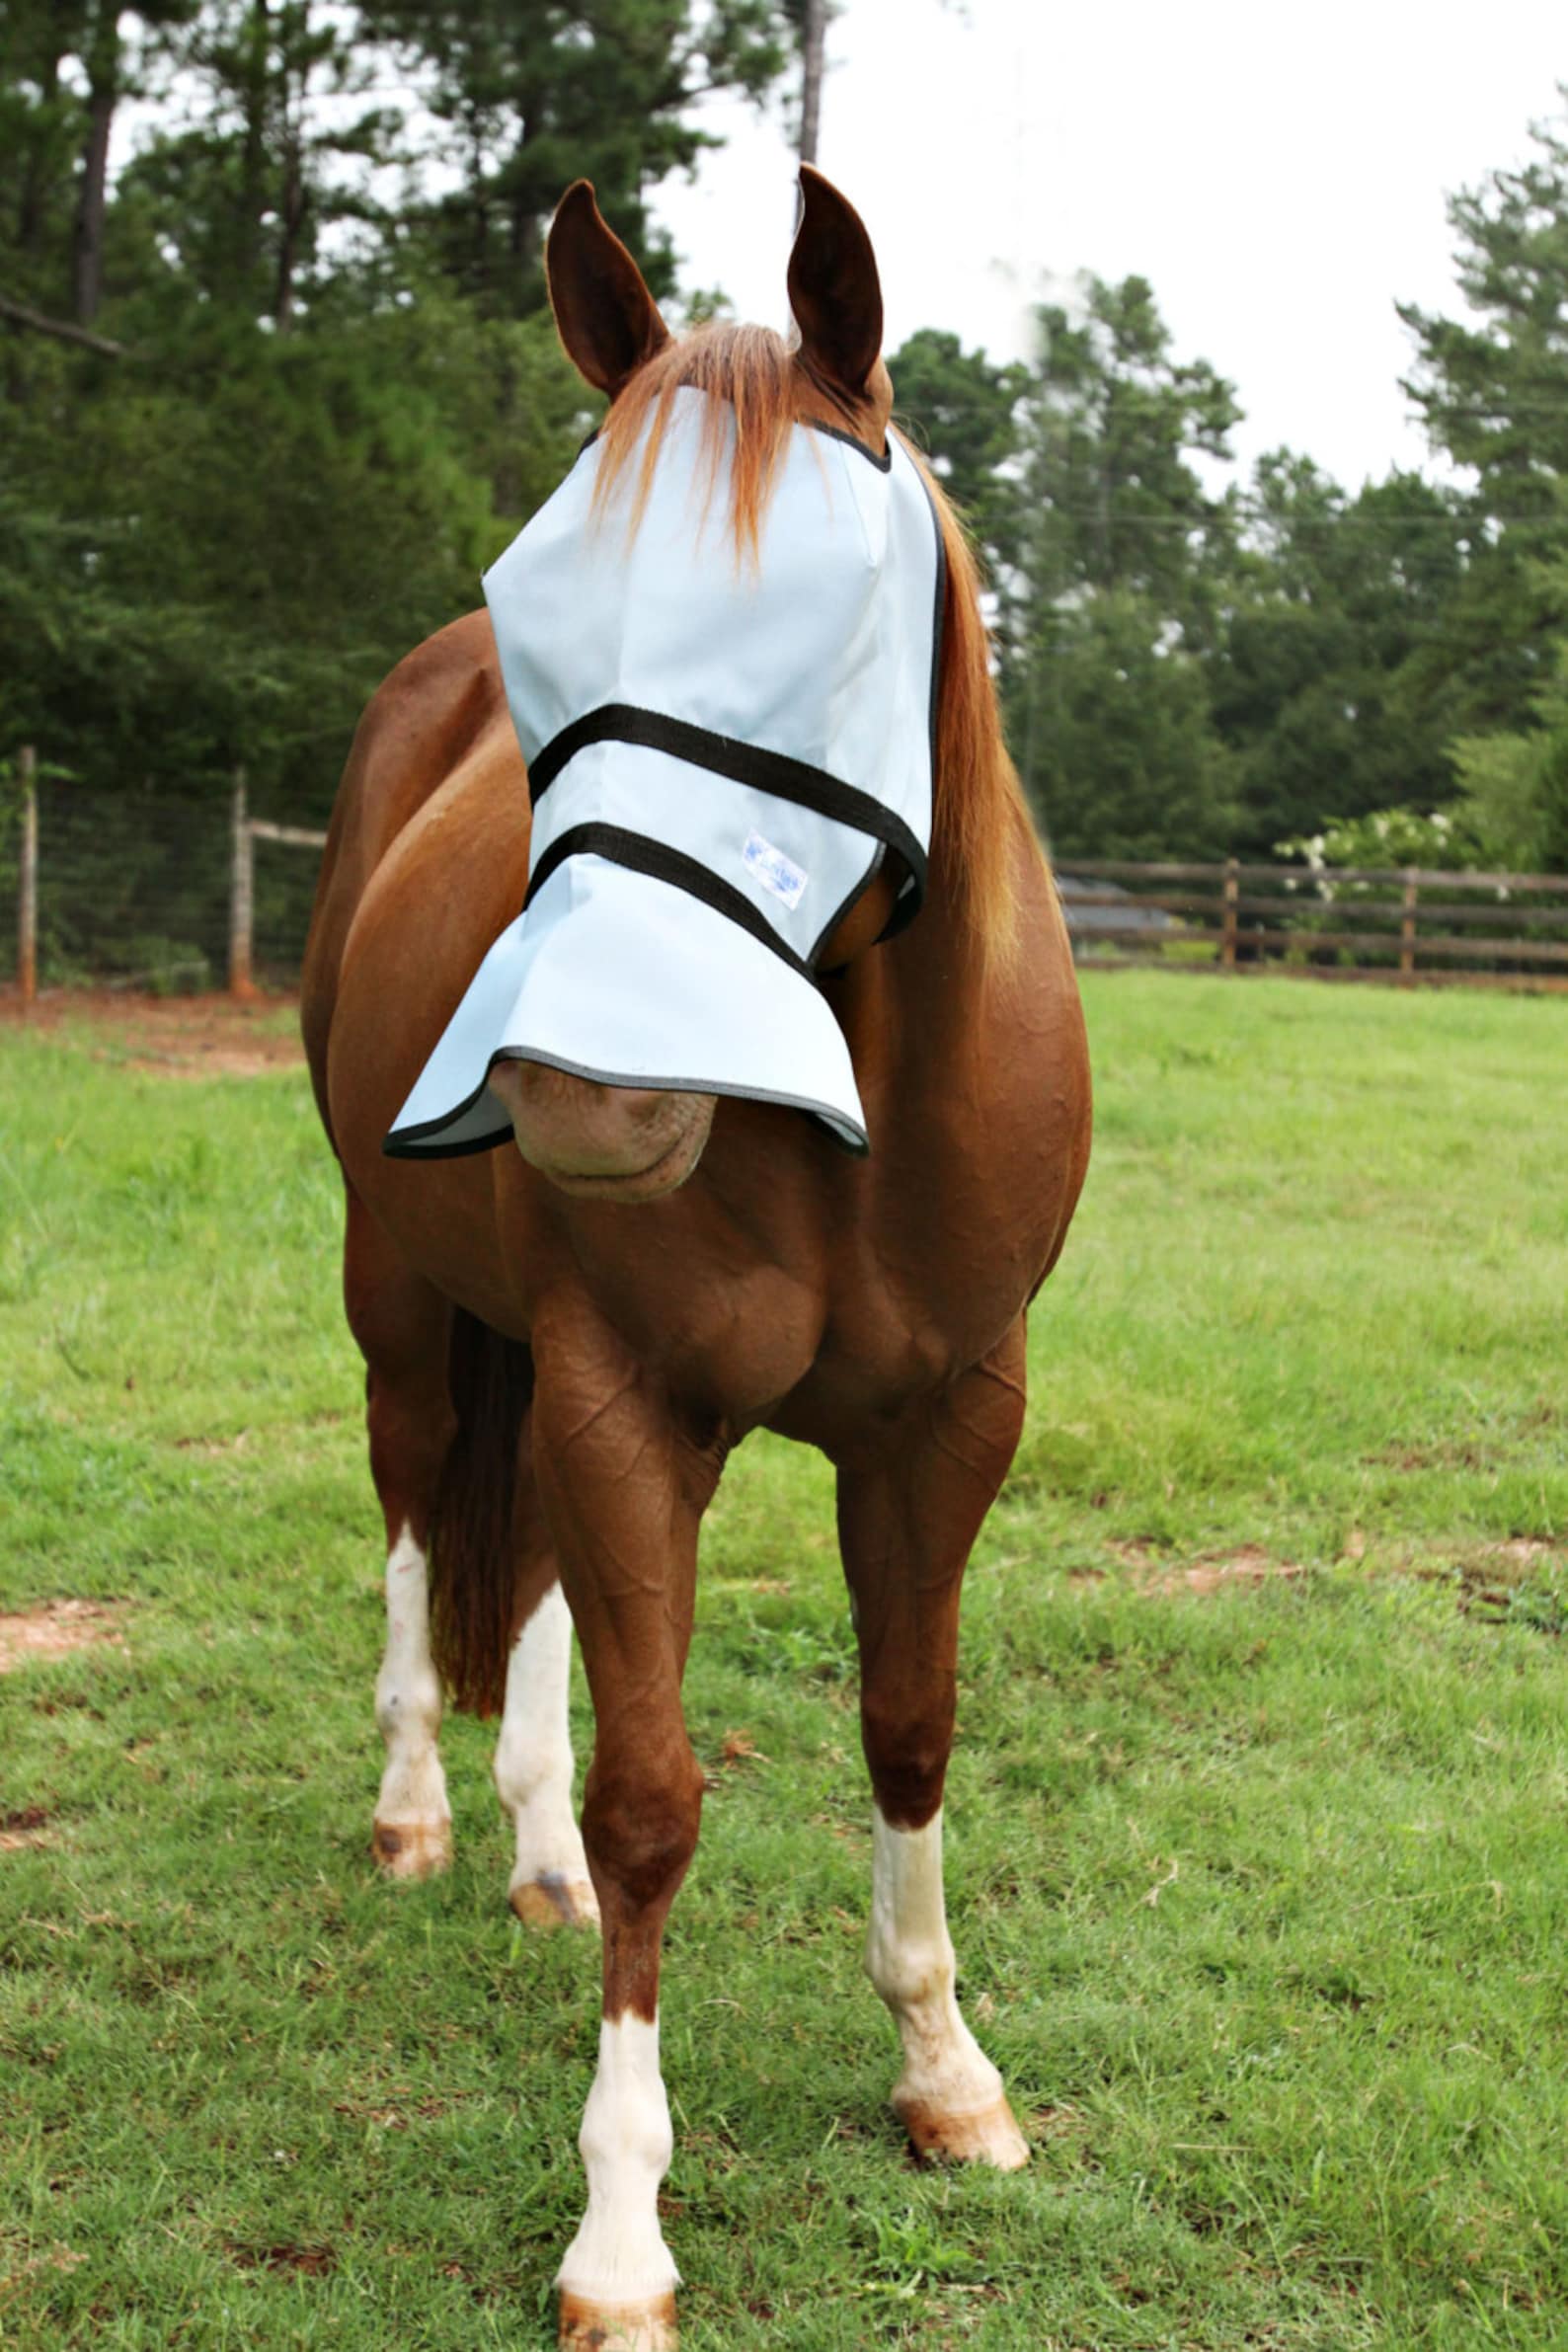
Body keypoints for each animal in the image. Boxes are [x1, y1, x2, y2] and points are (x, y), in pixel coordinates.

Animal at [301, 168, 1091, 2352]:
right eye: (536, 591)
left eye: (827, 615)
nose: (574, 1079)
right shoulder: (618, 1395)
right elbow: (660, 1798)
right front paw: (618, 2234)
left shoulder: (948, 1418)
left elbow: (907, 1725)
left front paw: (945, 2074)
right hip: (407, 1307)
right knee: (420, 1512)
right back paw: (420, 1810)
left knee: (530, 1592)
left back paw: (525, 1852)